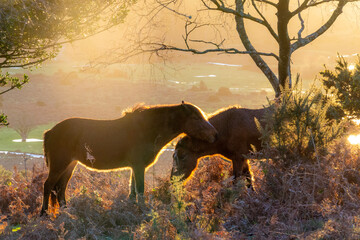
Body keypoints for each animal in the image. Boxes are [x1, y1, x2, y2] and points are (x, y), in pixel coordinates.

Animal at [40, 101, 218, 216]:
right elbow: (140, 190)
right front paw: (143, 212)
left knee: (60, 188)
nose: (215, 134)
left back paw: (66, 212)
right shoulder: (138, 166)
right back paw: (44, 213)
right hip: (59, 164)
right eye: (196, 118)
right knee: (48, 186)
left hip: (69, 165)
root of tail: (51, 131)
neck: (148, 129)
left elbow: (132, 192)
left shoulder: (135, 167)